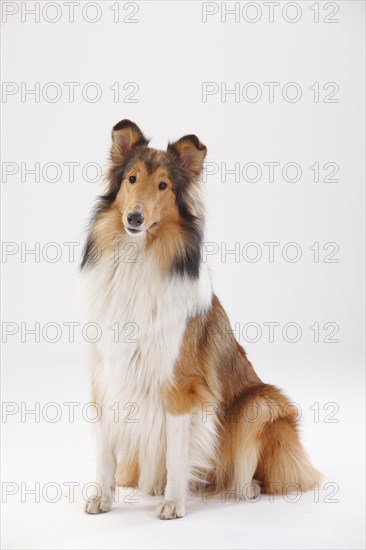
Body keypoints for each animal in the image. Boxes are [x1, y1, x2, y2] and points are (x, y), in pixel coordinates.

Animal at [79, 121, 318, 520]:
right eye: (131, 179)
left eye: (163, 185)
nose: (134, 219)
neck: (137, 260)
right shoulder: (107, 375)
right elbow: (104, 453)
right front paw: (102, 498)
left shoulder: (181, 386)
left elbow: (177, 453)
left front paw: (174, 503)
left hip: (262, 404)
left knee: (261, 472)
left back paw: (247, 488)